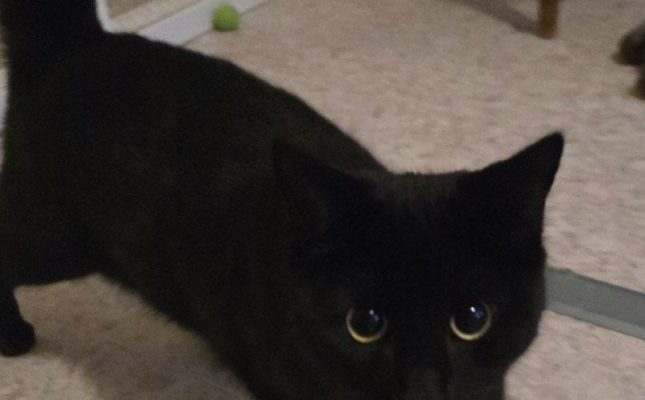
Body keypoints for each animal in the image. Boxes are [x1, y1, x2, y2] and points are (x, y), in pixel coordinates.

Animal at [0, 1, 564, 399]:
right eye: (364, 325)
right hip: (55, 241)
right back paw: (15, 335)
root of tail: (77, 44)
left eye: (472, 320)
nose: (423, 390)